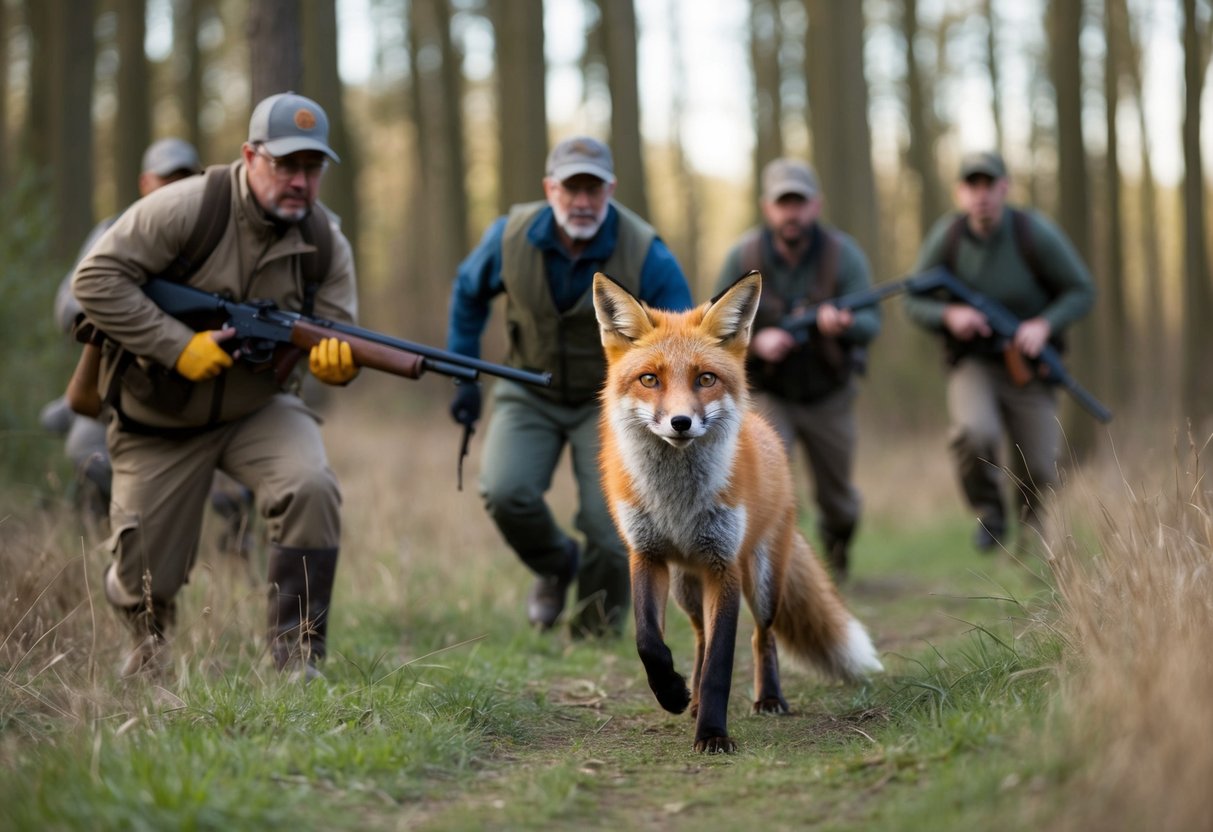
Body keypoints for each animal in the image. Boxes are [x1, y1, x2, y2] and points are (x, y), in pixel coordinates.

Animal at [592, 270, 883, 753]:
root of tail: (769, 435)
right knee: (698, 636)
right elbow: (649, 642)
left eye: (705, 378)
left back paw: (769, 699)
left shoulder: (722, 564)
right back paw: (688, 697)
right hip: (686, 587)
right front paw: (671, 693)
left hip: (762, 582)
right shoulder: (646, 555)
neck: (677, 503)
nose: (681, 422)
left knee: (760, 635)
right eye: (649, 379)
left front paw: (713, 733)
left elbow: (720, 664)